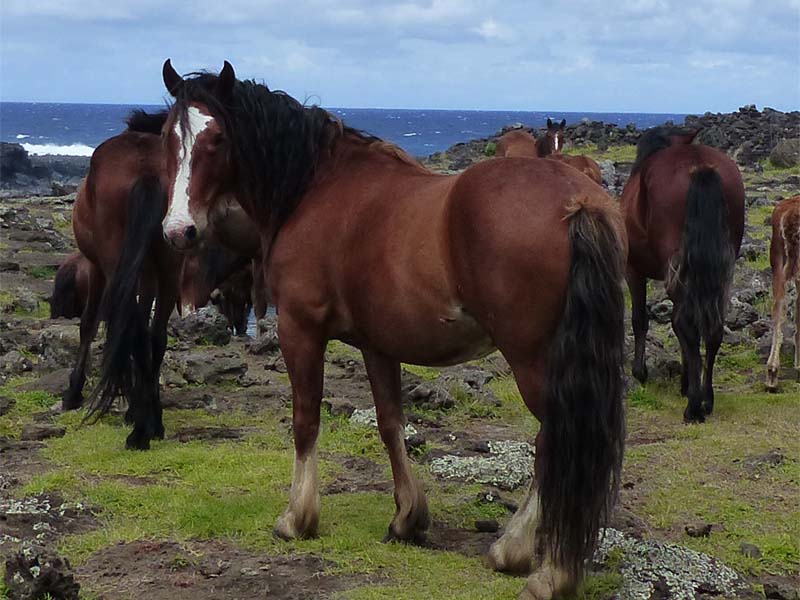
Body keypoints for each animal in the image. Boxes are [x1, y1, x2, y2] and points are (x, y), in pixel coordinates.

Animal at [159, 60, 627, 600]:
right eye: (169, 138)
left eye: (216, 139)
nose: (178, 232)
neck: (315, 189)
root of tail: (577, 200)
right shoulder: (378, 343)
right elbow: (391, 424)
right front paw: (408, 517)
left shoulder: (300, 328)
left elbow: (305, 421)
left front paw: (298, 517)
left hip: (532, 359)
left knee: (555, 441)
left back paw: (535, 563)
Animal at [621, 127, 745, 422]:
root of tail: (699, 165)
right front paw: (687, 381)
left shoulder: (633, 269)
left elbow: (640, 319)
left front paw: (640, 372)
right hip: (719, 269)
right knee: (712, 326)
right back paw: (706, 399)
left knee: (687, 324)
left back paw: (694, 406)